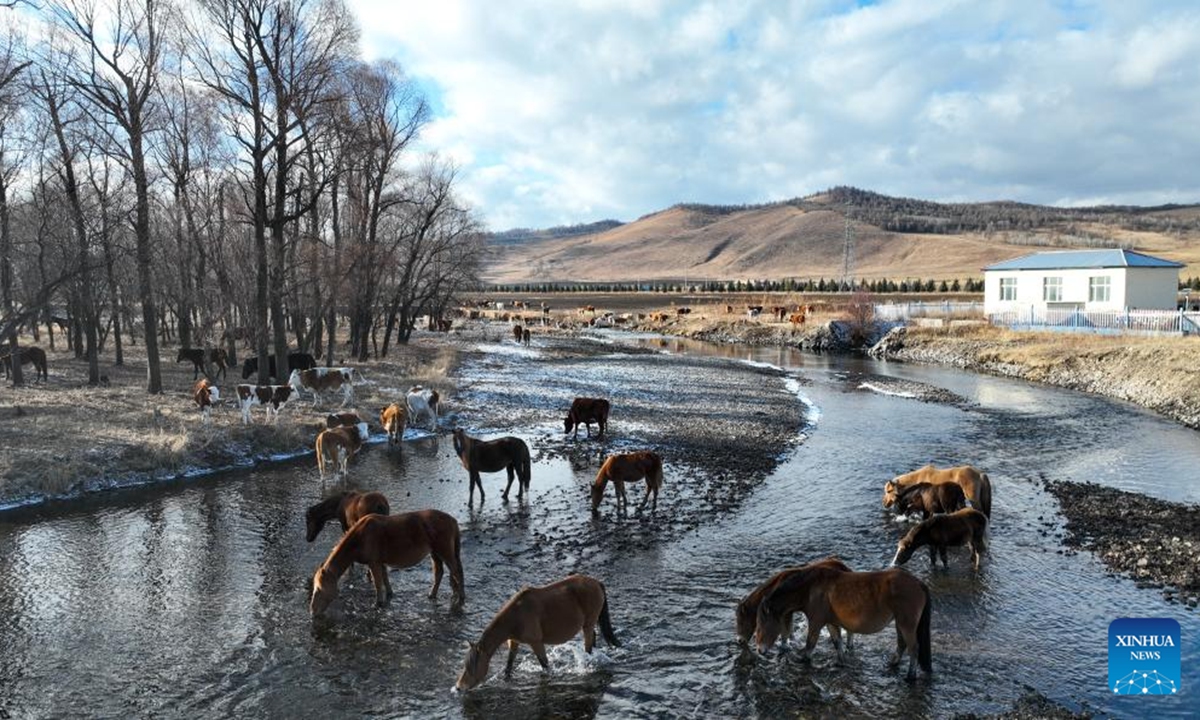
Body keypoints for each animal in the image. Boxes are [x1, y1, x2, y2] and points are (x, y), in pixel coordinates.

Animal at [309, 508, 463, 614]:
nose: (312, 612)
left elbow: (378, 583)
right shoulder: (380, 562)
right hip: (435, 553)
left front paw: (378, 603)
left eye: (319, 590)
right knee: (439, 573)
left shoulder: (374, 563)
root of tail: (452, 520)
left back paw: (460, 598)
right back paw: (433, 595)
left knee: (456, 572)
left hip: (444, 552)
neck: (360, 537)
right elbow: (385, 579)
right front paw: (389, 595)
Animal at [451, 576, 619, 691]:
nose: (459, 687)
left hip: (588, 624)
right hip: (588, 625)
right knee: (593, 639)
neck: (516, 616)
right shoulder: (514, 642)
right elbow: (508, 666)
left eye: (472, 666)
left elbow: (545, 665)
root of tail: (596, 582)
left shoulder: (536, 643)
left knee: (588, 646)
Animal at [753, 566, 931, 676]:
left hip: (906, 624)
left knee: (914, 648)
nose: (760, 651)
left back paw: (910, 676)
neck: (811, 588)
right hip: (899, 622)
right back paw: (893, 663)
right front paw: (841, 662)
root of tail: (918, 582)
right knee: (902, 644)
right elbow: (837, 642)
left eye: (761, 626)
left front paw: (804, 662)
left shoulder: (816, 622)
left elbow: (810, 645)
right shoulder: (830, 623)